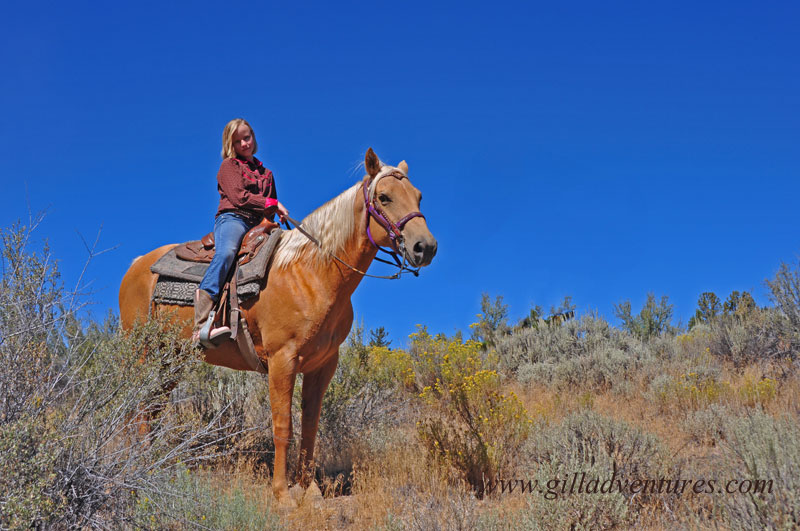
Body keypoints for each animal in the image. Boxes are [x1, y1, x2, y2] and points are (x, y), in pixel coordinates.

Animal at [118, 148, 437, 506]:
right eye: (384, 197)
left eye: (418, 196)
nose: (425, 246)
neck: (313, 272)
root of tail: (137, 264)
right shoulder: (282, 360)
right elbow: (283, 427)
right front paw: (282, 494)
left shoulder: (323, 365)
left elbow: (310, 426)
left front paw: (310, 490)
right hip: (143, 351)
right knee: (137, 404)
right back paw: (136, 461)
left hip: (172, 359)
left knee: (151, 405)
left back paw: (151, 459)